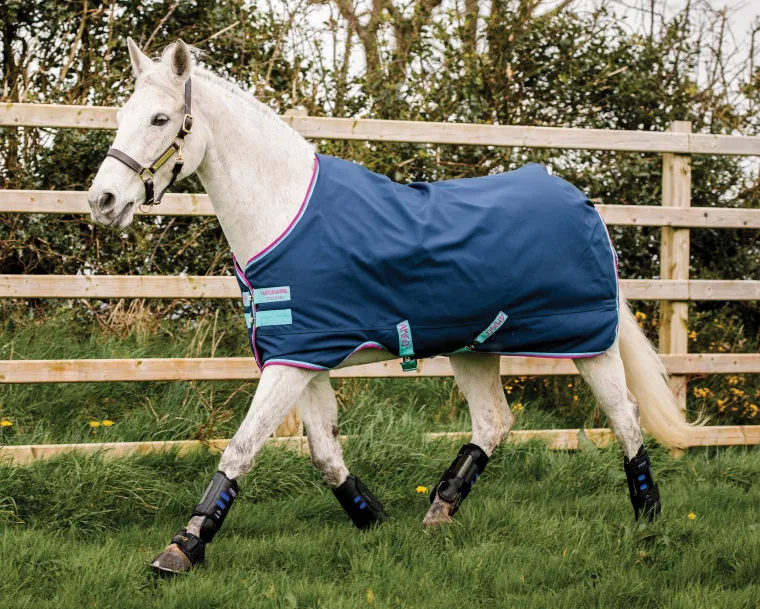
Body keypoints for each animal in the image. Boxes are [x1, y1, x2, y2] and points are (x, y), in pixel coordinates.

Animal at [87, 39, 697, 575]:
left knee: (624, 415)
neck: (283, 214)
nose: (102, 201)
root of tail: (581, 200)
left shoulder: (291, 363)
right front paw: (373, 518)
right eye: (123, 115)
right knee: (494, 421)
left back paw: (648, 515)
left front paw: (181, 548)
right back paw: (440, 510)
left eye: (160, 119)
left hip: (588, 342)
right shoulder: (302, 356)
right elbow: (324, 453)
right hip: (473, 346)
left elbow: (241, 448)